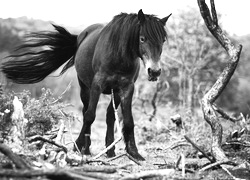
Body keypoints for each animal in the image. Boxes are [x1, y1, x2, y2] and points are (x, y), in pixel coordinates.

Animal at [0, 9, 171, 160]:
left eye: (163, 40)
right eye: (142, 38)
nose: (154, 71)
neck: (118, 56)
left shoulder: (126, 88)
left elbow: (128, 121)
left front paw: (134, 152)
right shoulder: (96, 85)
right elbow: (90, 115)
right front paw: (79, 146)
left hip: (114, 92)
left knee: (109, 116)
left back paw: (110, 150)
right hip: (85, 88)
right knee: (86, 111)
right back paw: (86, 147)